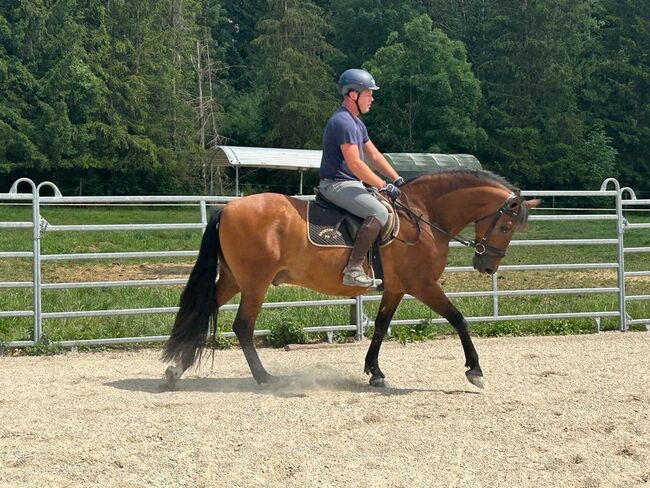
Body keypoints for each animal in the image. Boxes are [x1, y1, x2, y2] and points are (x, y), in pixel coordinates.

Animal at [161, 169, 536, 388]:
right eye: (505, 225)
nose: (487, 266)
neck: (423, 217)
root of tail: (228, 207)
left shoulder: (397, 288)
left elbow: (382, 326)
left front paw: (375, 371)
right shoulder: (422, 286)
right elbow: (458, 318)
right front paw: (475, 371)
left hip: (234, 280)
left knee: (203, 312)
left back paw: (176, 370)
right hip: (254, 283)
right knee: (242, 326)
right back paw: (263, 377)